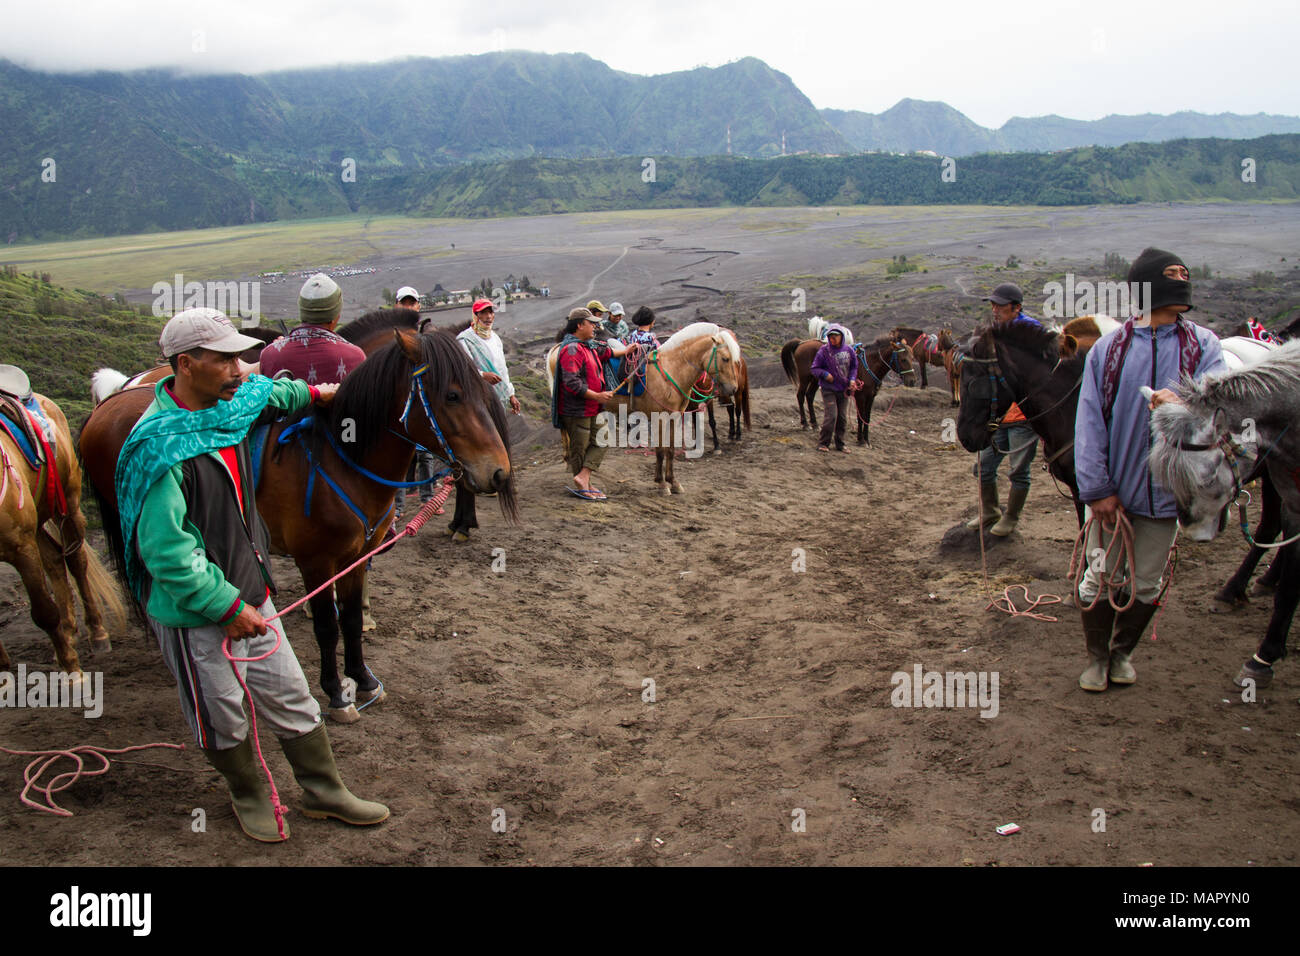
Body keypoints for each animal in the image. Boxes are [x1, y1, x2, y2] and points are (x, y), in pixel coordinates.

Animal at [0, 374, 122, 681]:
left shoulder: (20, 544)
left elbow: (44, 611)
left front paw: (72, 671)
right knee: (55, 560)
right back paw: (68, 633)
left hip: (66, 504)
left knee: (74, 561)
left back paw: (95, 634)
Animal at [77, 332, 517, 723]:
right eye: (453, 395)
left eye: (484, 391)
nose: (498, 472)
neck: (341, 459)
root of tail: (107, 404)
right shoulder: (316, 563)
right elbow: (327, 627)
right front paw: (336, 693)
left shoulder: (357, 557)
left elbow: (351, 619)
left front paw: (363, 680)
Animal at [543, 325, 738, 496]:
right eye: (725, 358)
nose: (733, 388)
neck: (671, 369)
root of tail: (557, 348)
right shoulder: (659, 418)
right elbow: (660, 450)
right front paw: (662, 484)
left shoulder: (674, 417)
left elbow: (670, 450)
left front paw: (673, 482)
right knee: (566, 431)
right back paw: (569, 463)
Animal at [1149, 340, 1300, 691]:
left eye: (1205, 478)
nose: (1193, 533)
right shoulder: (1294, 503)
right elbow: (1289, 587)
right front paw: (1264, 657)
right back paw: (1243, 587)